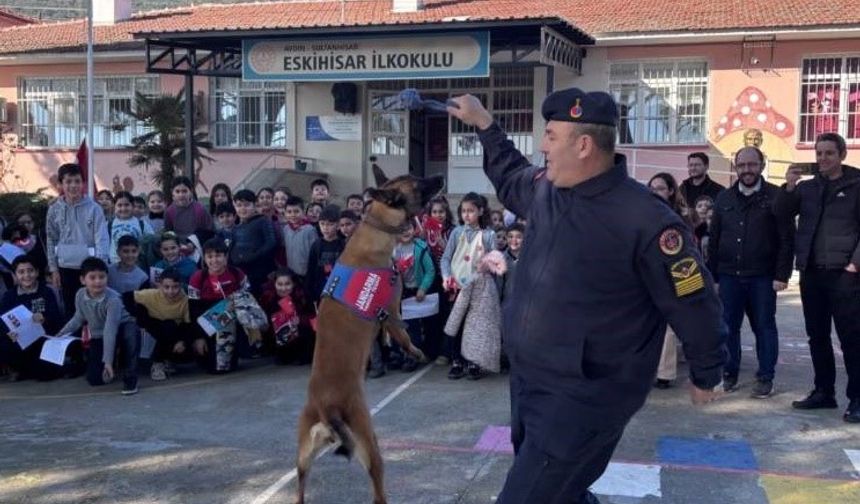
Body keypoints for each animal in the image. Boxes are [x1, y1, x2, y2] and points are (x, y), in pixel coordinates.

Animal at [294, 166, 444, 504]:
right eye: (418, 184)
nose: (441, 178)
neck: (377, 225)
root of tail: (327, 407)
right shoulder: (391, 312)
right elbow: (404, 336)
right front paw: (415, 352)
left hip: (304, 451)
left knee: (299, 484)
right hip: (369, 440)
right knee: (377, 490)